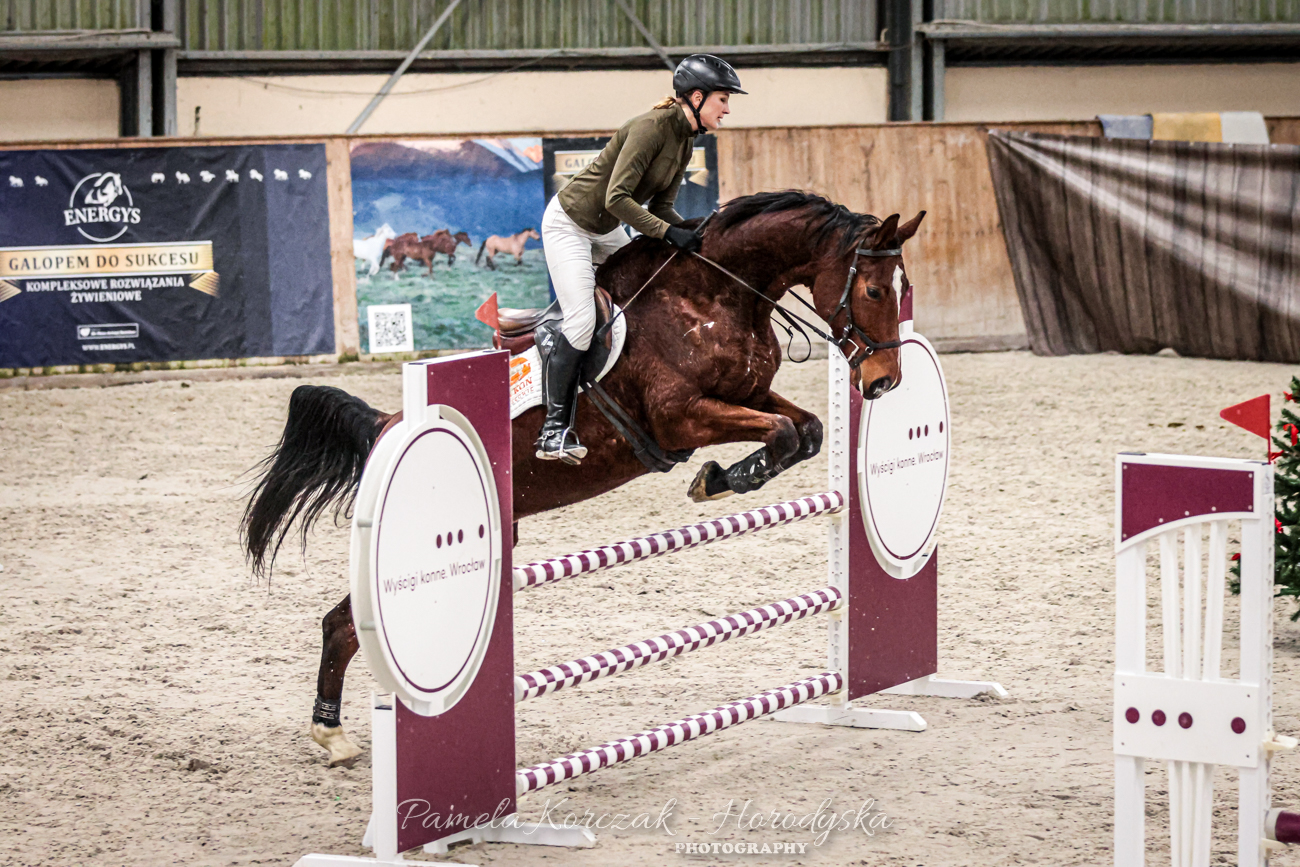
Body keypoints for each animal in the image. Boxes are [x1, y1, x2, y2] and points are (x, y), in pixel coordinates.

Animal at [241, 191, 925, 764]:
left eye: (903, 288)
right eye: (871, 290)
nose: (883, 382)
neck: (715, 293)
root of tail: (387, 422)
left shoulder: (750, 395)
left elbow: (805, 430)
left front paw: (725, 477)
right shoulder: (681, 417)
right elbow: (781, 434)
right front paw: (715, 478)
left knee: (343, 624)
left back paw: (332, 734)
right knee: (347, 623)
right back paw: (329, 733)